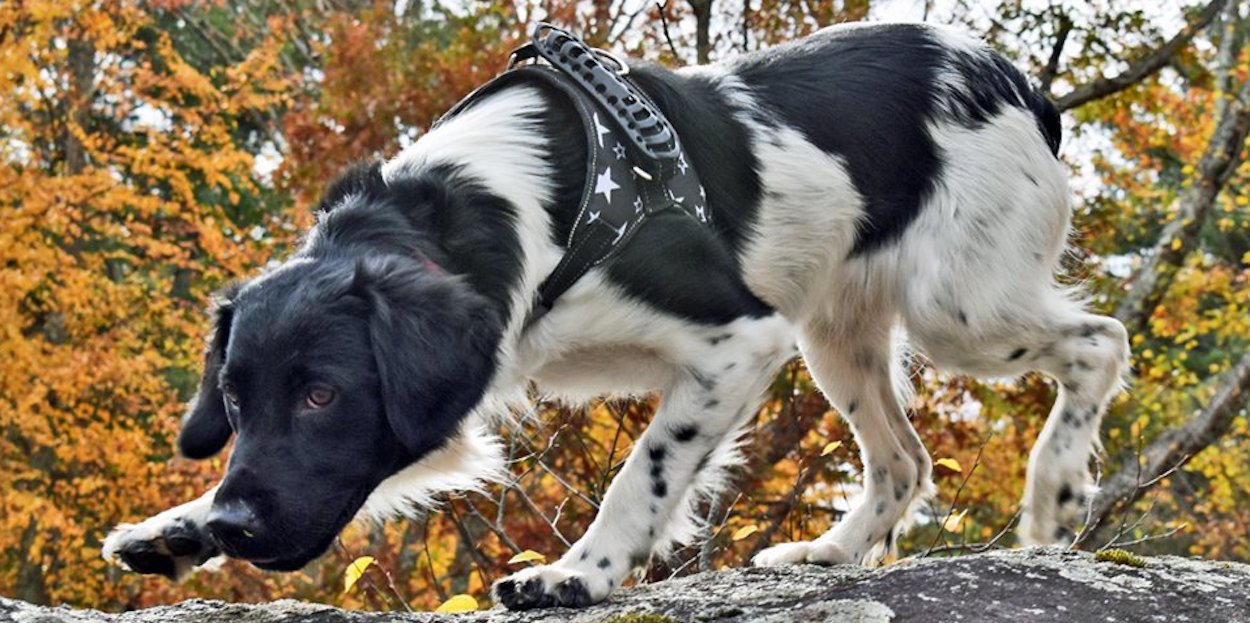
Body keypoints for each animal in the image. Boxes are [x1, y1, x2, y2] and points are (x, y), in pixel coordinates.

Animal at [103, 21, 1129, 610]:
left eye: (322, 395)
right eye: (235, 403)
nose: (235, 526)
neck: (497, 203)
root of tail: (1019, 83)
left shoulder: (738, 336)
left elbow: (643, 472)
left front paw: (579, 573)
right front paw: (176, 525)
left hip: (958, 307)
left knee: (1099, 340)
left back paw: (1055, 494)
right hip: (837, 332)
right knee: (904, 458)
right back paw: (830, 553)